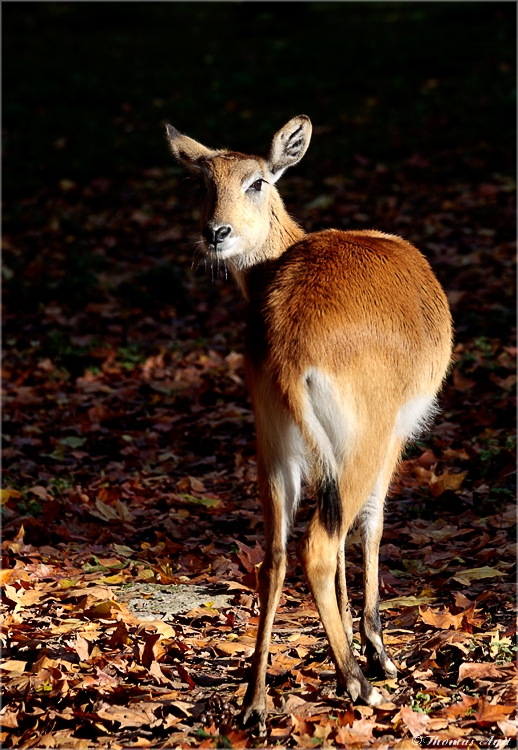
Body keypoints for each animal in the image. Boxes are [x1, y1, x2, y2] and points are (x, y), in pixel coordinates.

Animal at [167, 117, 456, 736]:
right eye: (203, 181)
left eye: (255, 180)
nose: (215, 232)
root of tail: (288, 344)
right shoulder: (395, 438)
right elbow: (371, 526)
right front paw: (377, 651)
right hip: (360, 443)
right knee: (321, 544)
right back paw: (360, 685)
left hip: (276, 449)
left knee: (274, 555)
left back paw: (254, 704)